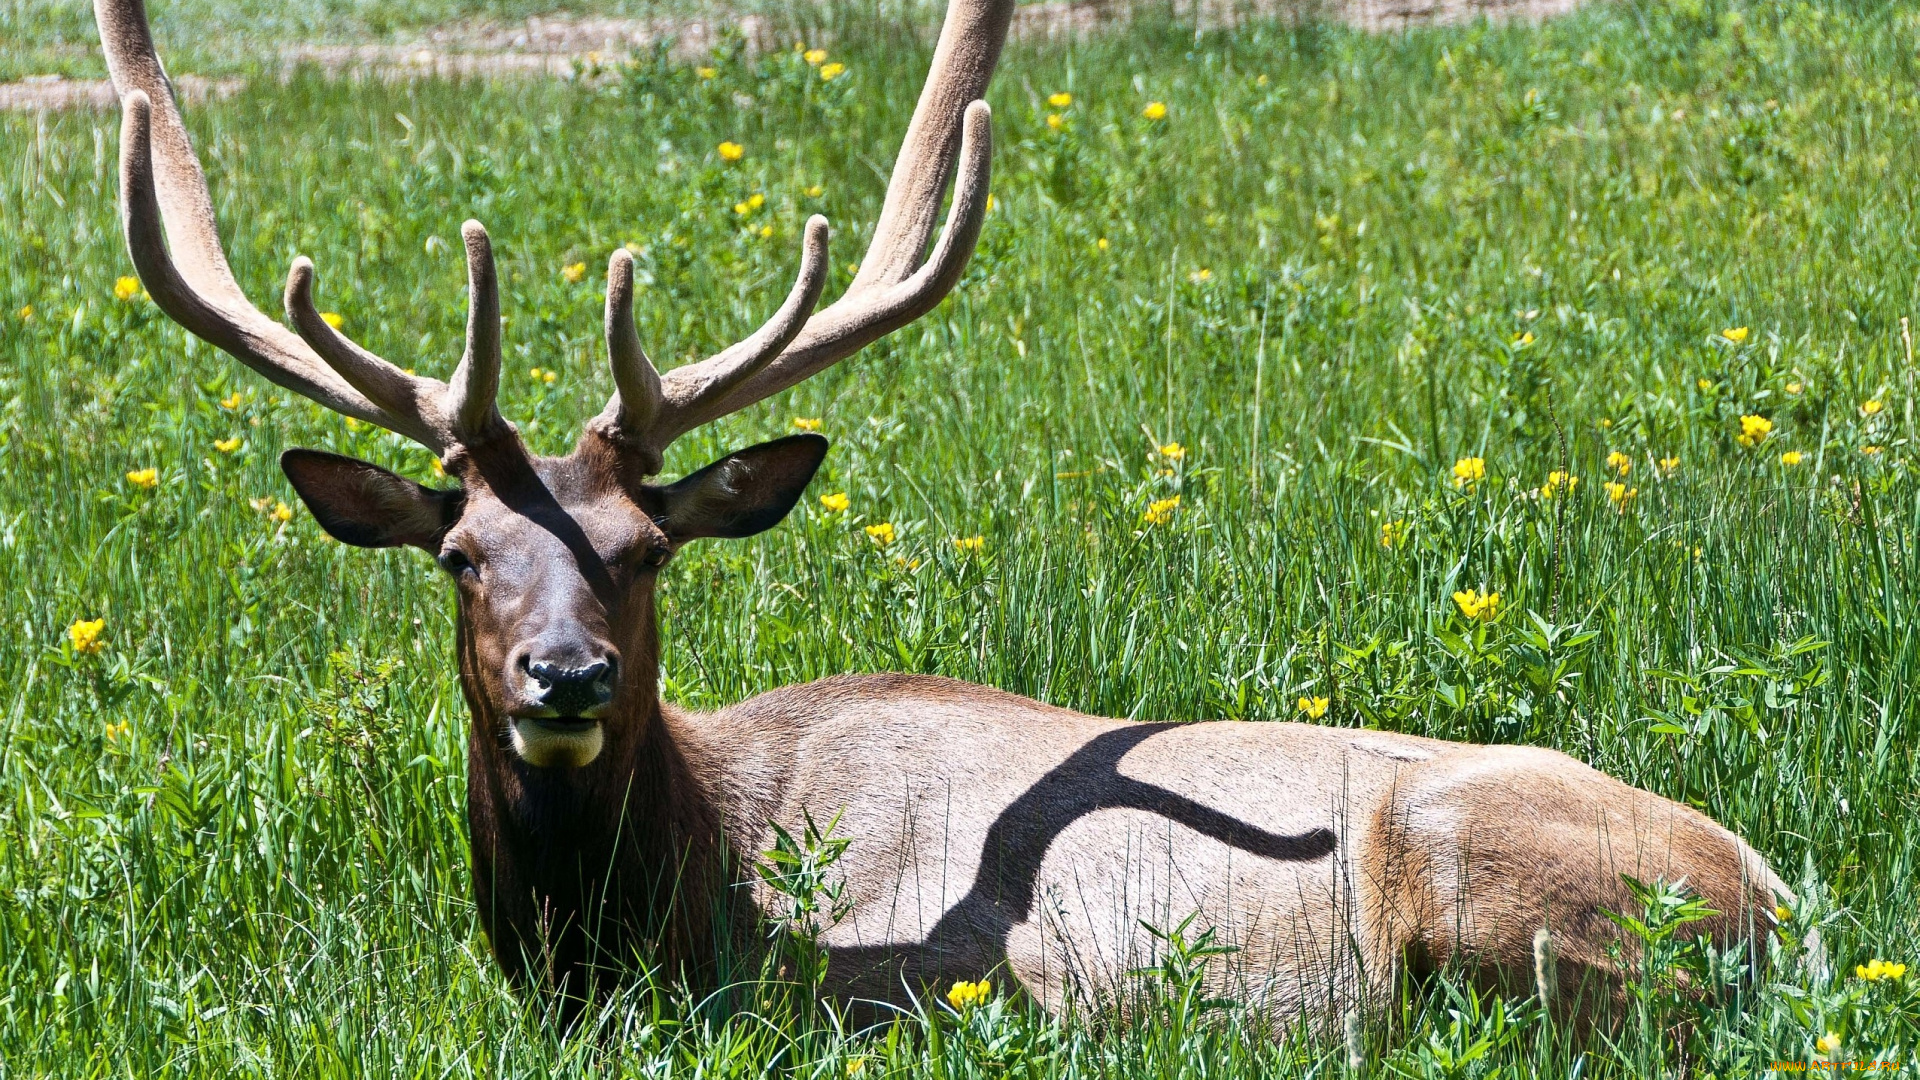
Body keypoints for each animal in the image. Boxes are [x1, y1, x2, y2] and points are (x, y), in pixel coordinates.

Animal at [93, 0, 1797, 1022]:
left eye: (646, 553)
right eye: (457, 554)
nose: (563, 677)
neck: (675, 911)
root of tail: (1784, 904)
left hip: (1494, 894)